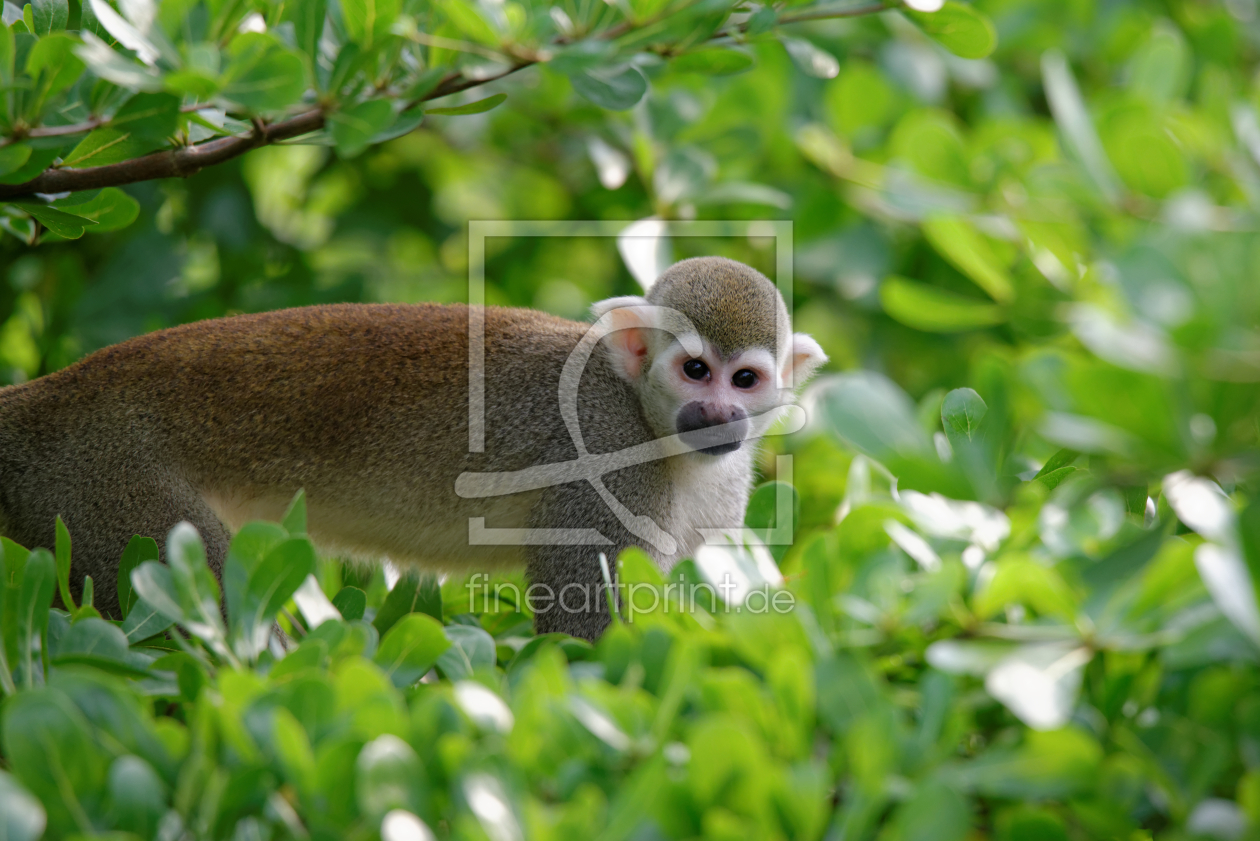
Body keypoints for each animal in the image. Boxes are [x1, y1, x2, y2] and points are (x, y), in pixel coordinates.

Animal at [0, 257, 826, 638]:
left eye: (745, 379)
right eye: (695, 370)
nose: (717, 414)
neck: (654, 429)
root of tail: (46, 399)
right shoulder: (604, 451)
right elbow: (585, 619)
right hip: (99, 487)